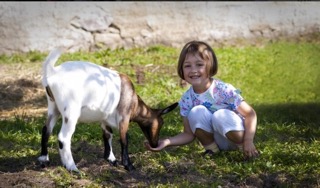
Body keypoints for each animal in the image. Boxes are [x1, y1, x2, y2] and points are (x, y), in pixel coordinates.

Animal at [37, 48, 179, 172]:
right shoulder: (123, 116)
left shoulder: (105, 119)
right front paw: (128, 166)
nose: (155, 144)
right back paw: (72, 167)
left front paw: (111, 159)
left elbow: (107, 135)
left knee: (46, 130)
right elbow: (124, 139)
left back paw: (44, 160)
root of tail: (53, 72)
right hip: (71, 111)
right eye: (161, 123)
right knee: (63, 137)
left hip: (53, 107)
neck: (134, 102)